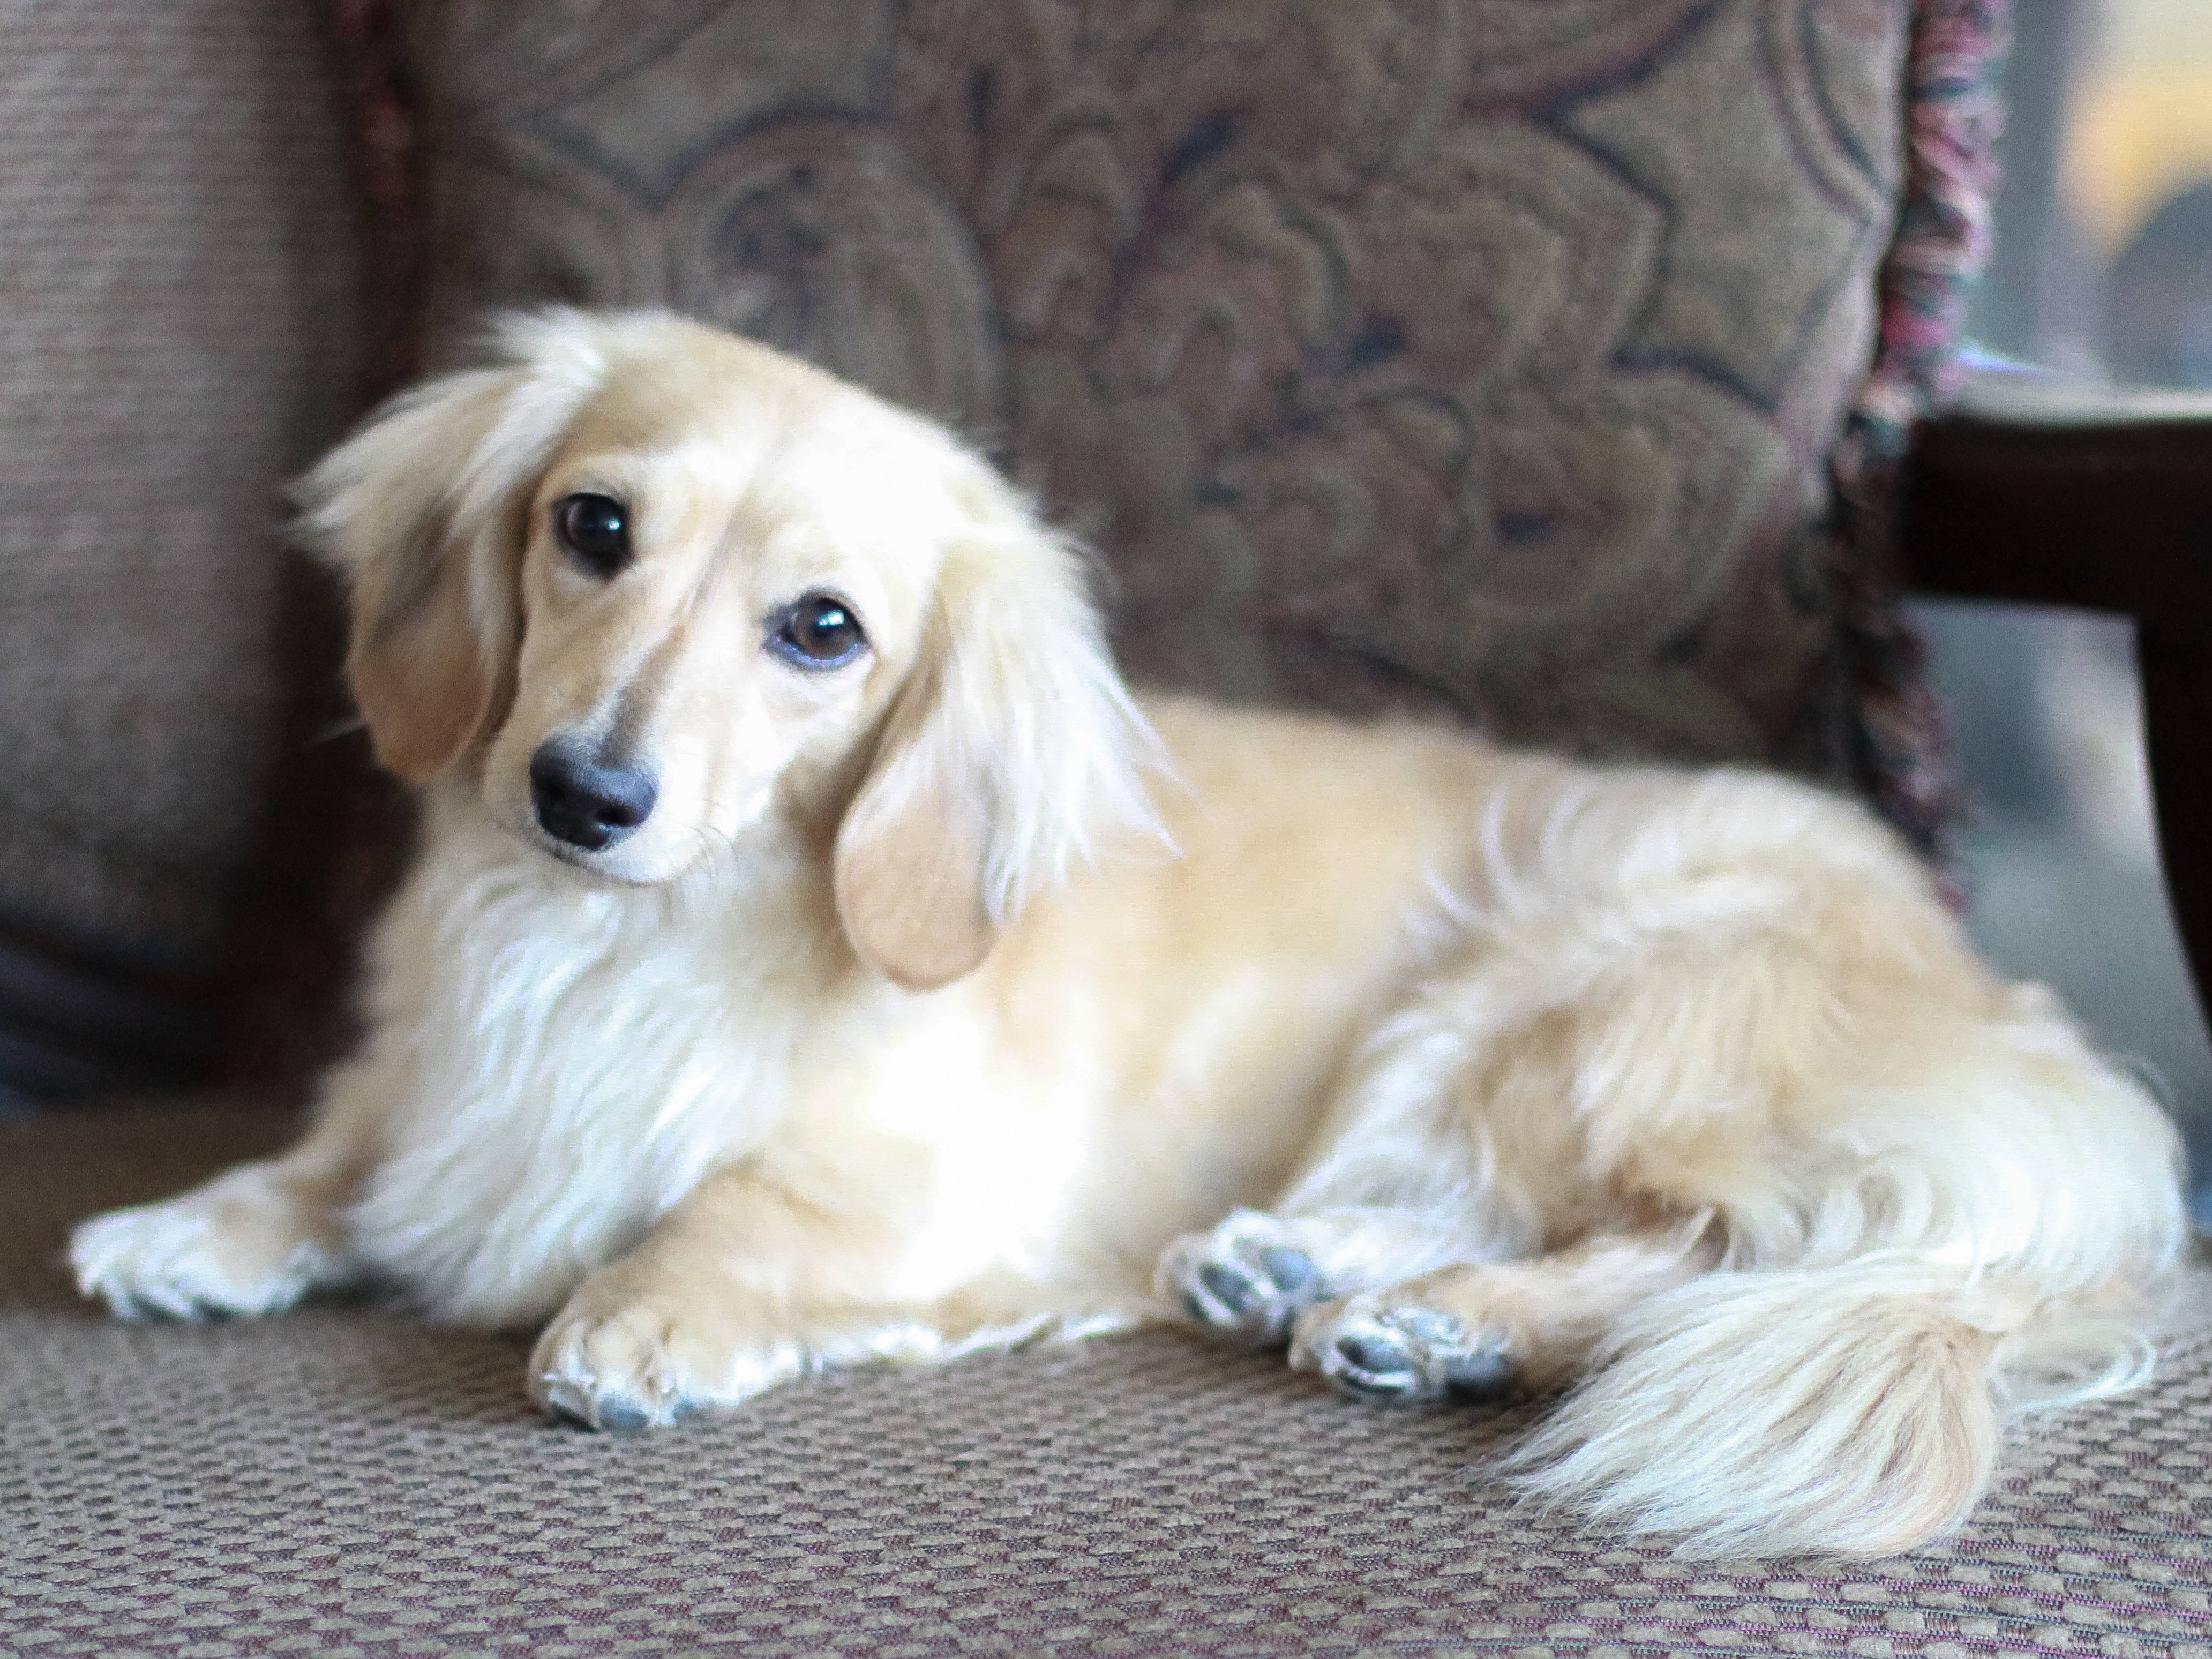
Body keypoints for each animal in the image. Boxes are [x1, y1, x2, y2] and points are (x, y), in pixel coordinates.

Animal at [64, 312, 2176, 1557]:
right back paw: (1294, 1266)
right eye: (591, 526)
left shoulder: (925, 1186)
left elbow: (737, 1208)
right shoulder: (426, 1086)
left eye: (820, 630)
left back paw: (1442, 1318)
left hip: (1539, 1006)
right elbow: (336, 1159)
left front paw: (646, 1311)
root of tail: (2011, 1034)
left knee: (1698, 1245)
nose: (581, 793)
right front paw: (201, 1221)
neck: (607, 949)